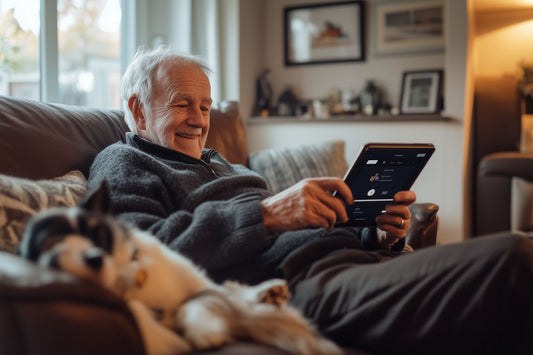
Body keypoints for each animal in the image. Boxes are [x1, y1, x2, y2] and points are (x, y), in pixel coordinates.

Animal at [18, 184, 340, 355]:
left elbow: (197, 303)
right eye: (51, 243)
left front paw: (205, 329)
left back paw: (268, 293)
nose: (95, 258)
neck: (130, 278)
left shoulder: (198, 292)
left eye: (98, 235)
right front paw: (207, 333)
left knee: (232, 293)